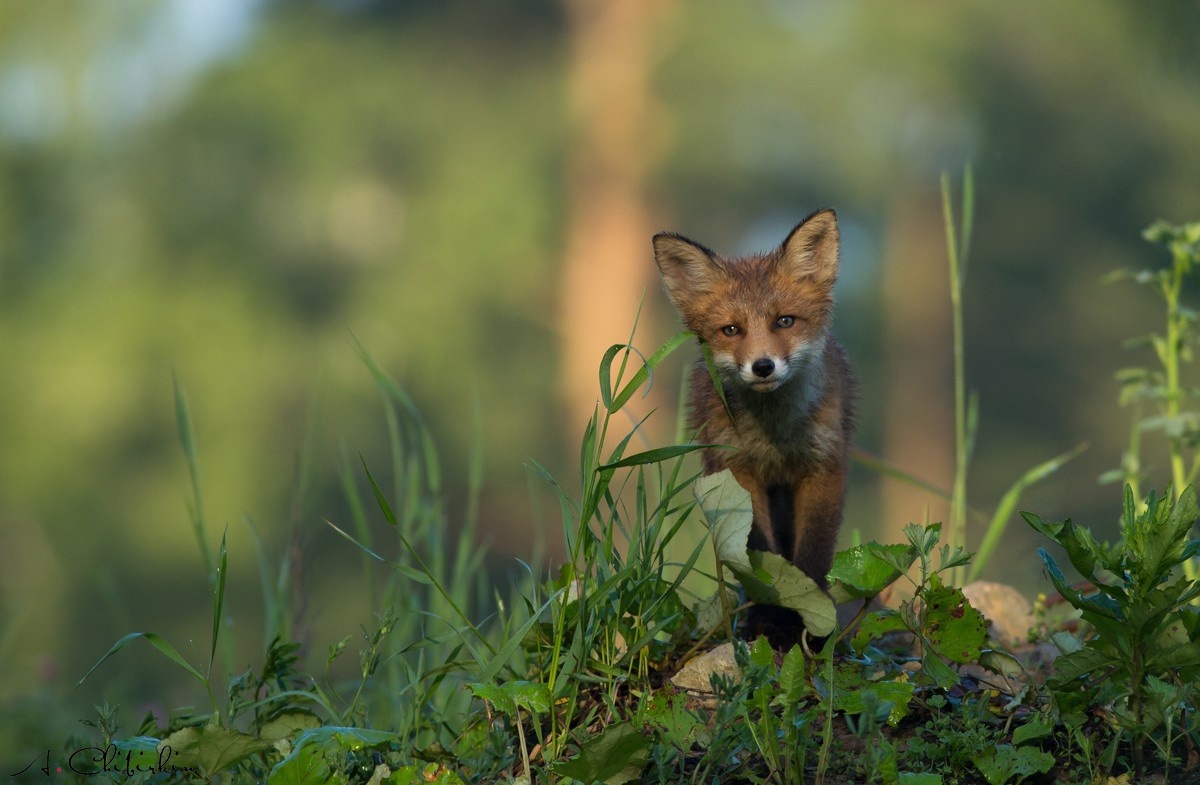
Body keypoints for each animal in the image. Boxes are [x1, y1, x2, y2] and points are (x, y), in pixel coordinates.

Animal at [652, 207, 859, 648]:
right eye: (732, 330)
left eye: (785, 321)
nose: (762, 366)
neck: (775, 436)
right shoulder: (738, 474)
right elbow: (759, 556)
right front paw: (770, 620)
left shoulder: (824, 469)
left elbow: (811, 558)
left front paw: (810, 625)